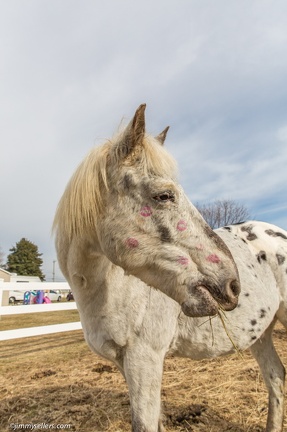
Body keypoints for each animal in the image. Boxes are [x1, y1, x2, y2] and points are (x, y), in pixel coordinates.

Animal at [53, 104, 287, 432]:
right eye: (164, 195)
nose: (233, 285)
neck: (106, 291)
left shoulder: (144, 359)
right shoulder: (126, 364)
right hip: (261, 334)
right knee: (275, 376)